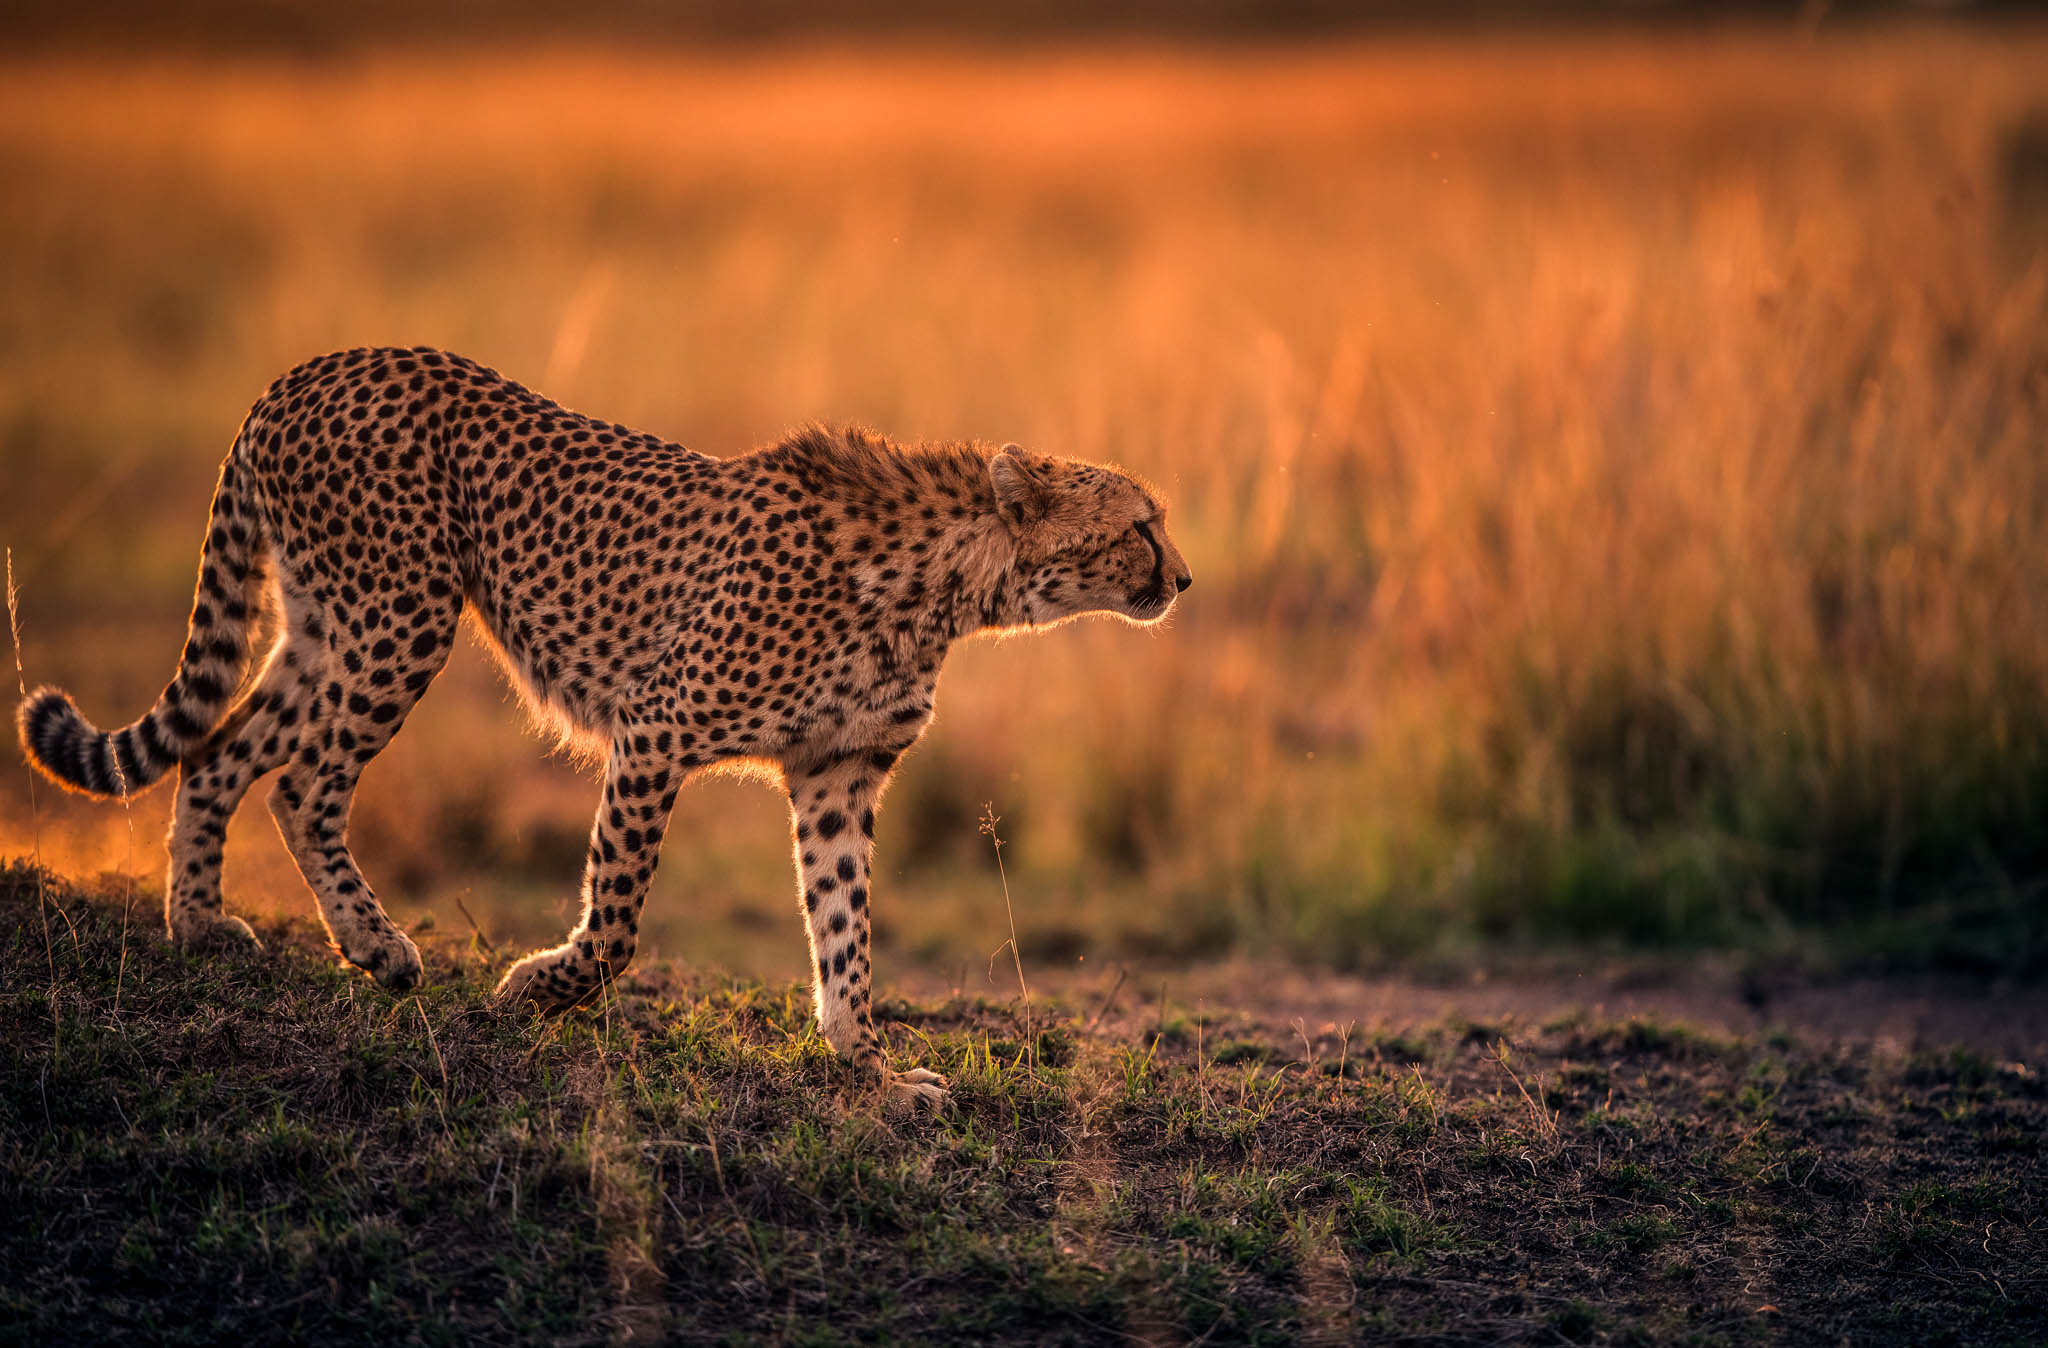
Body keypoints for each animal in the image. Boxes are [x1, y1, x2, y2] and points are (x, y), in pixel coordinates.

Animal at [15, 345, 1191, 1106]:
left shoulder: (838, 772)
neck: (948, 582)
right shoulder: (657, 727)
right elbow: (620, 919)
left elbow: (844, 928)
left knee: (219, 753)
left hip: (323, 625)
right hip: (401, 615)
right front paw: (536, 991)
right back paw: (379, 948)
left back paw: (200, 930)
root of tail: (313, 366)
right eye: (1141, 523)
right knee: (304, 783)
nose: (1183, 577)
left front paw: (865, 1068)